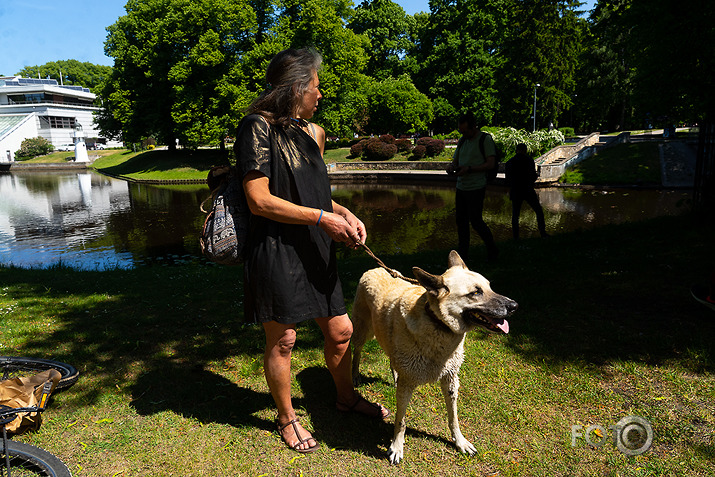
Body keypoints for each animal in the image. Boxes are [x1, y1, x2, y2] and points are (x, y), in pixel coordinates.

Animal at [352, 251, 516, 462]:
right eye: (475, 293)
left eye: (489, 287)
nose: (514, 305)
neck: (438, 325)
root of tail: (377, 268)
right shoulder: (407, 386)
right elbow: (401, 422)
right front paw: (396, 447)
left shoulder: (451, 381)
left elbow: (454, 418)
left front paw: (460, 442)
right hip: (363, 331)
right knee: (356, 351)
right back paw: (355, 375)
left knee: (391, 359)